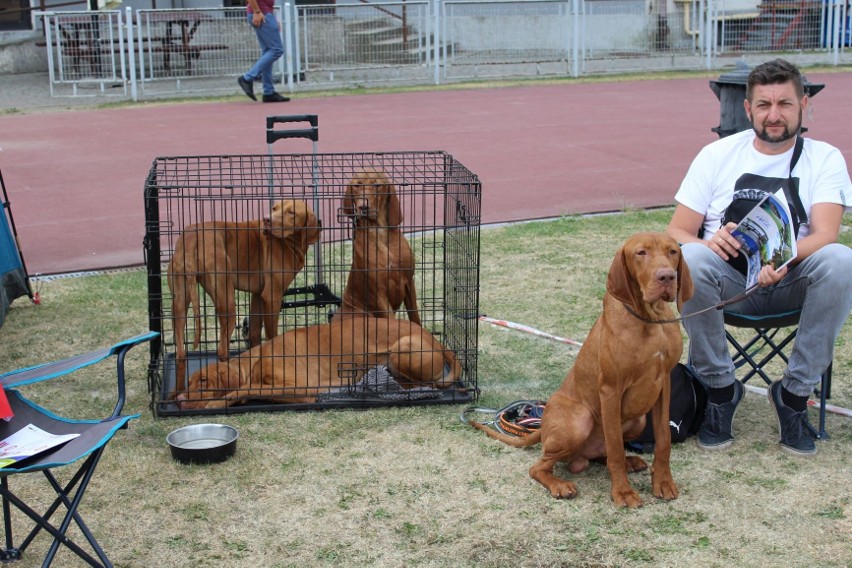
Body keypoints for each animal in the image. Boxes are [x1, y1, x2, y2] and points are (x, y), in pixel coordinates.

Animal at [168, 200, 322, 400]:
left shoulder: (258, 297)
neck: (290, 241)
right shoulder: (272, 297)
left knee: (180, 353)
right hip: (227, 301)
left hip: (179, 303)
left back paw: (176, 393)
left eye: (291, 212)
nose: (266, 220)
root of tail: (191, 238)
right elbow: (272, 336)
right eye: (274, 208)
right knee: (222, 350)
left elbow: (255, 333)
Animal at [175, 312, 466, 410]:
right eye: (188, 382)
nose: (178, 399)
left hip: (401, 348)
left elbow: (245, 388)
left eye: (203, 381)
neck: (256, 361)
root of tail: (435, 339)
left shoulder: (302, 389)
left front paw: (216, 401)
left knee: (423, 384)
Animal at [336, 166, 422, 324]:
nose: (363, 207)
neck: (380, 232)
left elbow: (415, 318)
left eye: (377, 185)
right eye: (357, 185)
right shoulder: (378, 293)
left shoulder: (409, 281)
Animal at [470, 233, 696, 508]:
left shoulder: (663, 384)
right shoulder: (610, 389)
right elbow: (616, 449)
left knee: (602, 453)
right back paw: (560, 485)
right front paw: (623, 492)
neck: (649, 320)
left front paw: (662, 482)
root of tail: (543, 425)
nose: (667, 277)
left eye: (672, 251)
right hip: (580, 420)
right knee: (540, 466)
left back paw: (630, 461)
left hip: (638, 420)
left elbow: (663, 440)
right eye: (641, 253)